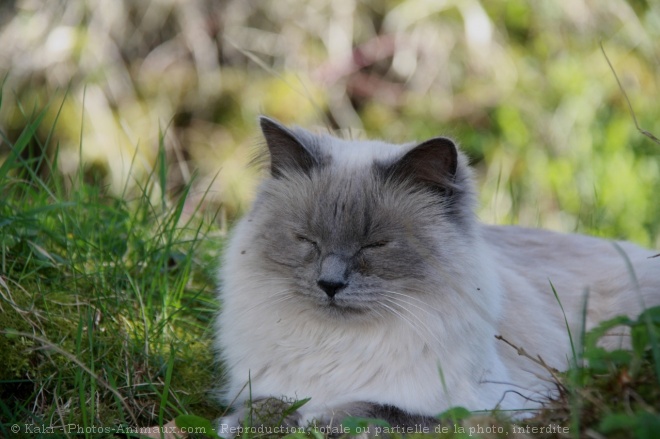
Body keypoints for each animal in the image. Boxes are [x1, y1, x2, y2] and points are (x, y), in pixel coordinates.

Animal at [214, 117, 656, 434]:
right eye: (307, 240)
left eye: (375, 245)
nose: (330, 284)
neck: (340, 344)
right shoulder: (265, 387)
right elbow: (263, 406)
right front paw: (253, 422)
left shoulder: (499, 408)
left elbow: (378, 409)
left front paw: (319, 419)